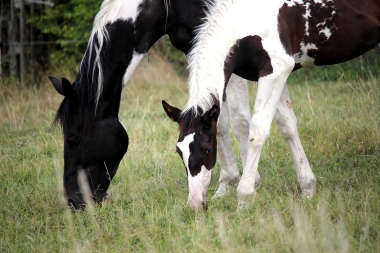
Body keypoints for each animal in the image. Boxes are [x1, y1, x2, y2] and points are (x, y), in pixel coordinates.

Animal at [49, 0, 262, 210]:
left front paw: (249, 182)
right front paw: (226, 185)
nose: (73, 202)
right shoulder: (200, 49)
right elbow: (218, 122)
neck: (167, 5)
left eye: (73, 140)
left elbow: (240, 121)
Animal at [163, 0, 380, 211]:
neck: (248, 17)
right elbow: (287, 125)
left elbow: (257, 131)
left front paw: (244, 199)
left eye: (207, 149)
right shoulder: (275, 74)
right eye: (179, 151)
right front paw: (308, 189)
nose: (196, 203)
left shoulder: (275, 70)